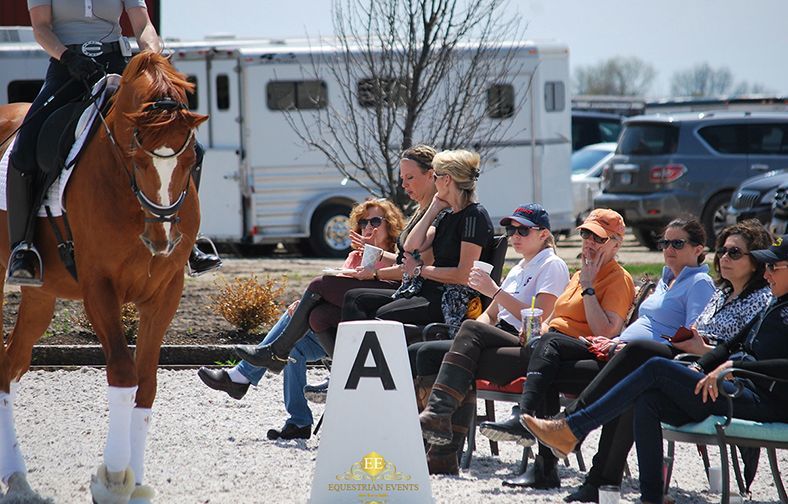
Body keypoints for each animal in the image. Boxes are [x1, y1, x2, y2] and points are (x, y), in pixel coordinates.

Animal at [0, 51, 207, 503]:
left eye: (190, 161)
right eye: (137, 157)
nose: (162, 239)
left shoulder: (166, 291)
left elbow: (146, 382)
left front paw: (137, 480)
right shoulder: (99, 288)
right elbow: (123, 372)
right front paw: (112, 479)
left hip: (40, 297)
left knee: (10, 365)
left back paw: (18, 479)